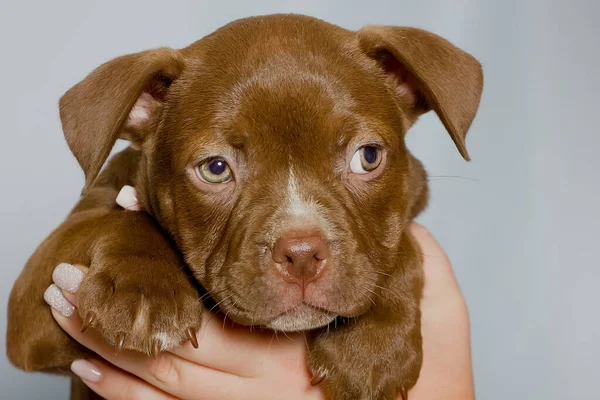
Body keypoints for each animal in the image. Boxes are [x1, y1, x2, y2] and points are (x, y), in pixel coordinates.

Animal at [5, 13, 482, 400]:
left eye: (367, 157)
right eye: (215, 168)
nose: (303, 254)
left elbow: (400, 249)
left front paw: (370, 347)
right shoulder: (33, 314)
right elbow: (114, 221)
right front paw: (142, 288)